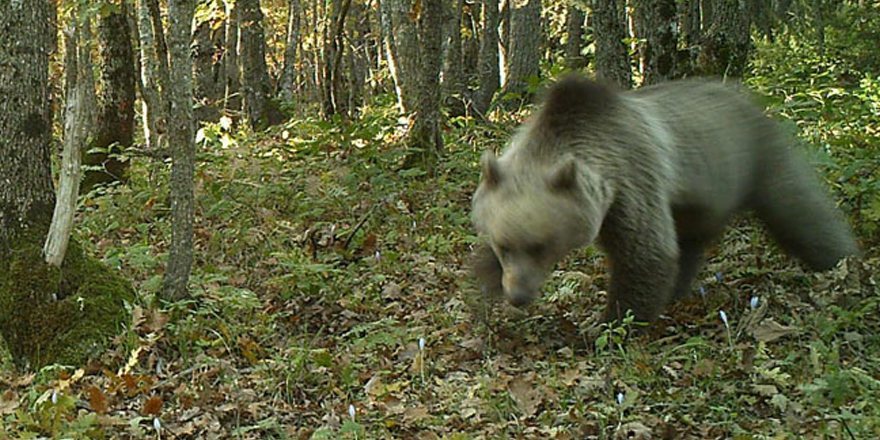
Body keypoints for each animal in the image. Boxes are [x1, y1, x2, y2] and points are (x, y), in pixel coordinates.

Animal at [474, 74, 860, 324]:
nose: (518, 295)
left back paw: (843, 259)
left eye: (542, 246)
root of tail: (747, 96)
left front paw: (610, 322)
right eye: (504, 245)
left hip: (758, 156)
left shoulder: (631, 184)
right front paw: (482, 283)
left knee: (799, 211)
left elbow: (646, 254)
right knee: (689, 245)